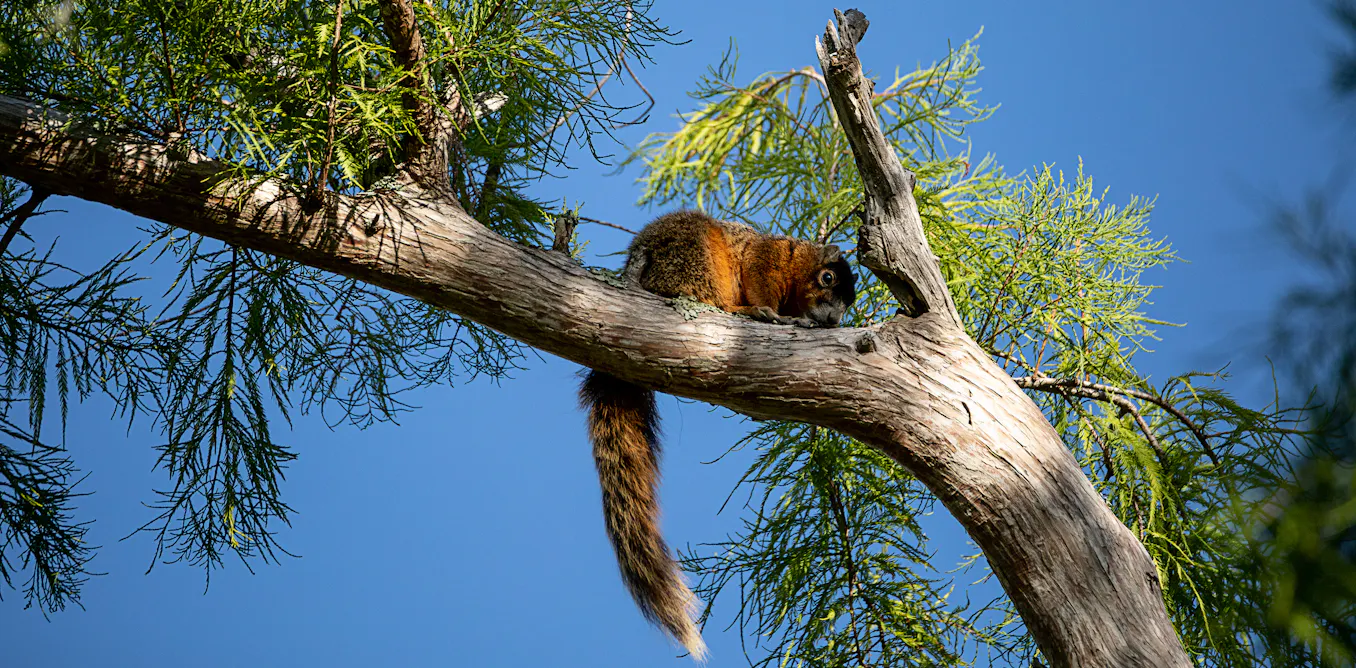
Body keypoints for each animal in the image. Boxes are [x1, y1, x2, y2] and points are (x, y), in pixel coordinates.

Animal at [578, 210, 858, 660]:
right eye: (827, 278)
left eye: (850, 302)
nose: (832, 321)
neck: (794, 266)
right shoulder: (766, 257)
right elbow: (760, 276)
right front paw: (771, 311)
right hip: (693, 254)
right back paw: (747, 311)